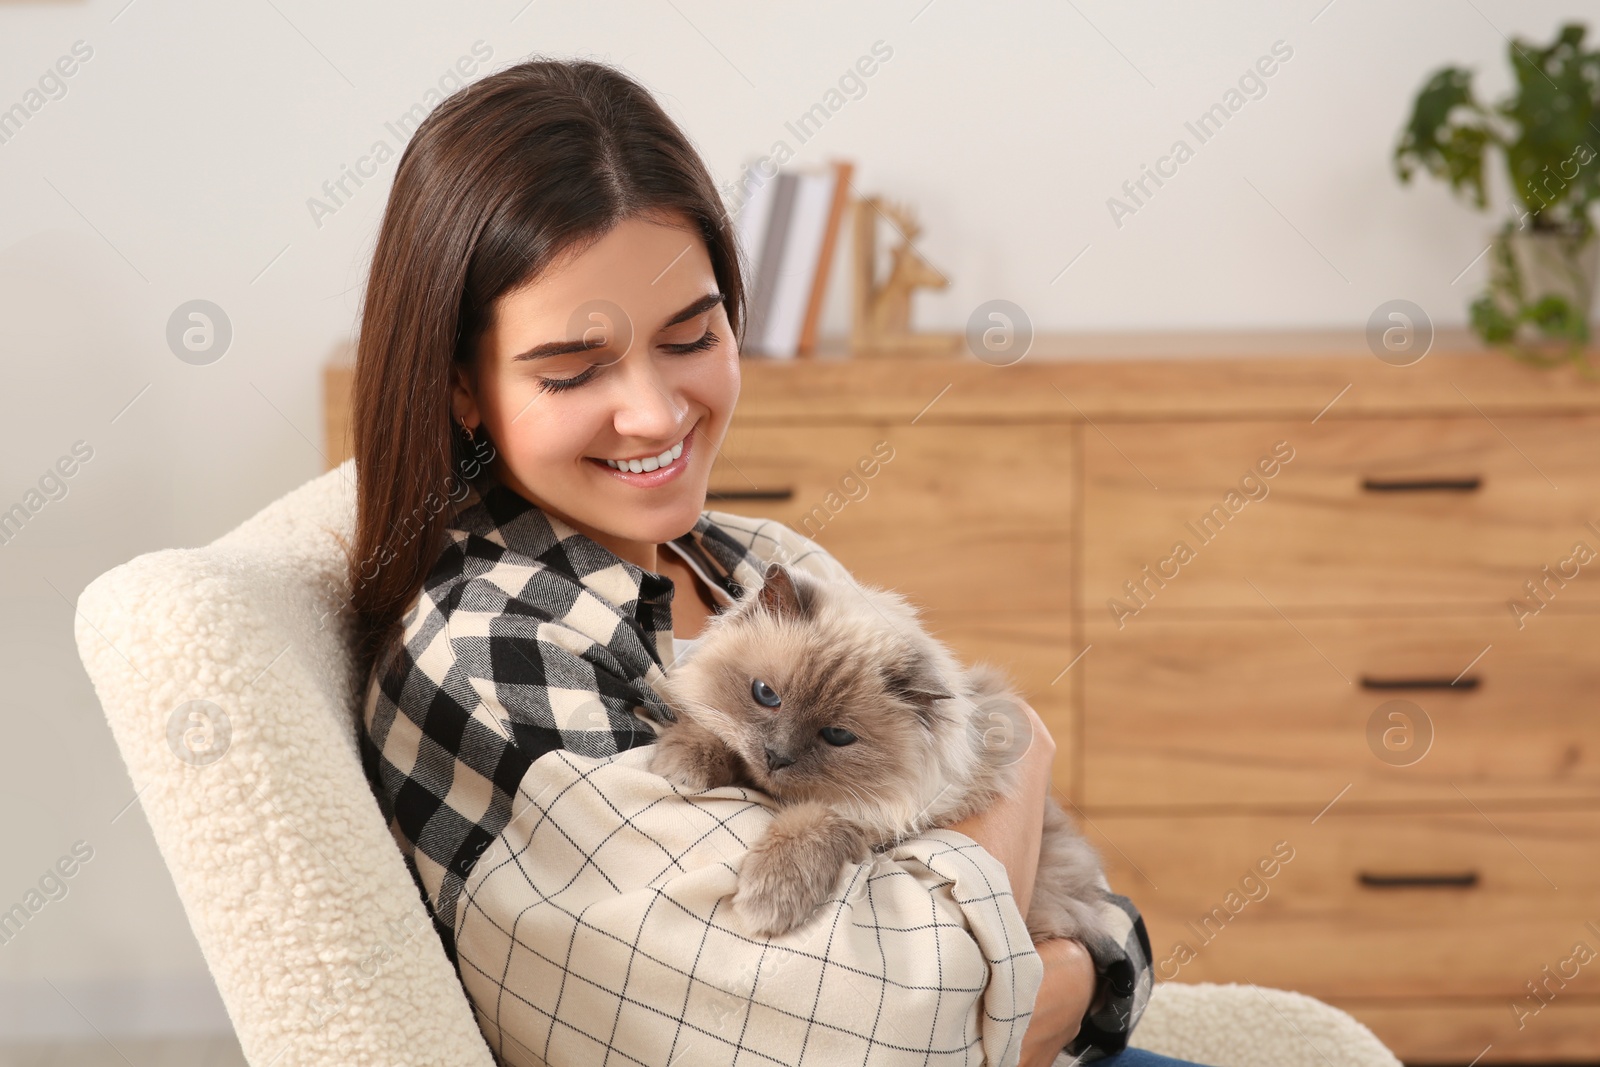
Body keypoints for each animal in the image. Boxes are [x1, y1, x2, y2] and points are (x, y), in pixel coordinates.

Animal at [643, 563, 1120, 953]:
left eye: (837, 736)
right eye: (766, 695)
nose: (777, 757)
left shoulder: (872, 822)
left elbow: (810, 825)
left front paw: (768, 900)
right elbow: (715, 731)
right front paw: (684, 763)